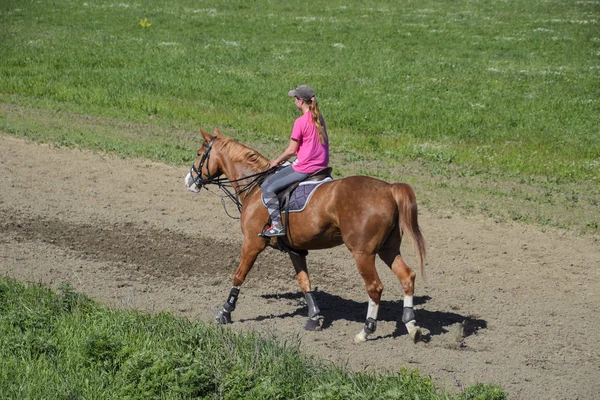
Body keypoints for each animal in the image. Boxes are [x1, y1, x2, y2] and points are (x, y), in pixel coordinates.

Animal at [185, 129, 424, 344]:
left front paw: (225, 311)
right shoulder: (295, 250)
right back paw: (411, 325)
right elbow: (304, 282)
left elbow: (238, 276)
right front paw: (314, 317)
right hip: (388, 249)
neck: (256, 187)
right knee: (407, 276)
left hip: (362, 253)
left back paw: (366, 331)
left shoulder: (252, 243)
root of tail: (389, 189)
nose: (188, 180)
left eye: (199, 153)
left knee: (374, 287)